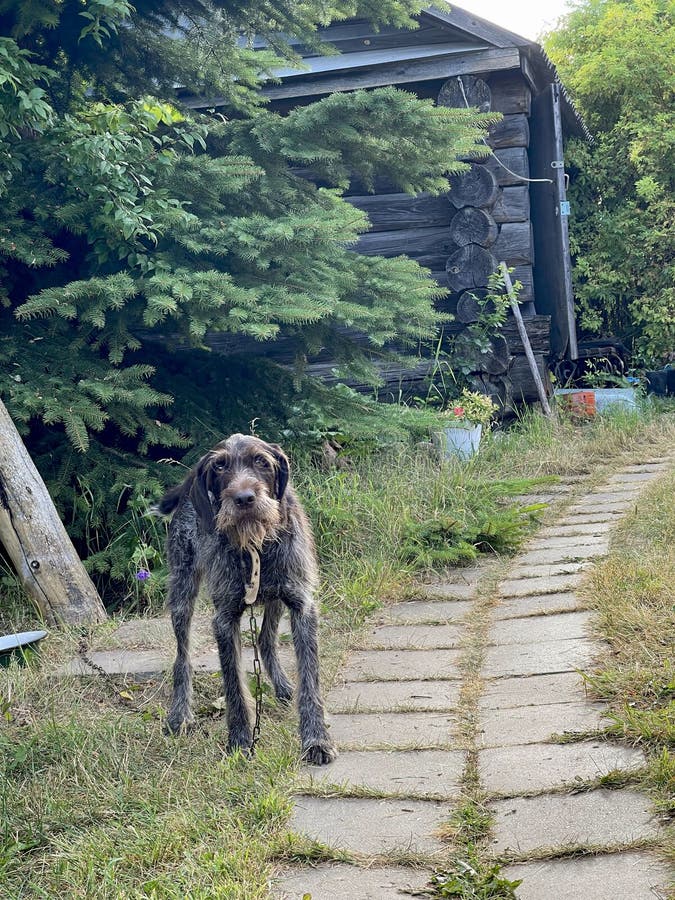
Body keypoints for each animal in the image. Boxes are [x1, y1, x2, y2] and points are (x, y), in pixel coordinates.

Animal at [158, 432, 338, 764]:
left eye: (261, 461)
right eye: (219, 467)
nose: (243, 499)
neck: (256, 545)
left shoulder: (301, 605)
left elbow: (310, 679)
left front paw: (316, 739)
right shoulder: (224, 619)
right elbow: (234, 688)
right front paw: (240, 742)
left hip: (277, 598)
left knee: (266, 639)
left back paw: (283, 687)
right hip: (182, 592)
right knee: (182, 657)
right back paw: (180, 714)